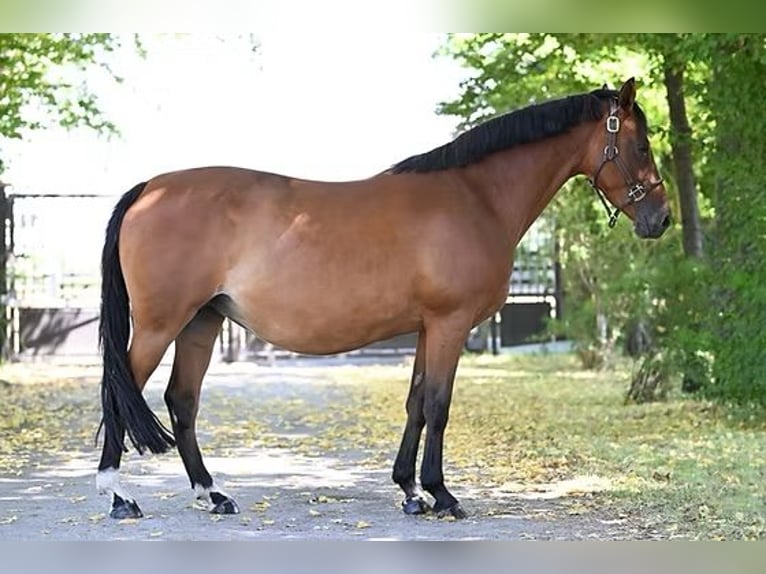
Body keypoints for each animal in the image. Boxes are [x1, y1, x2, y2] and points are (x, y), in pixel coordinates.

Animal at [97, 79, 672, 524]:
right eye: (641, 146)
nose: (661, 219)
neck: (475, 196)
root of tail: (150, 188)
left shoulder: (425, 327)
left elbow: (416, 402)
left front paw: (411, 491)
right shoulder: (450, 324)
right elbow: (438, 405)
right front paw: (442, 494)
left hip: (202, 321)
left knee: (182, 401)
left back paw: (212, 494)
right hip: (161, 323)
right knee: (121, 393)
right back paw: (119, 497)